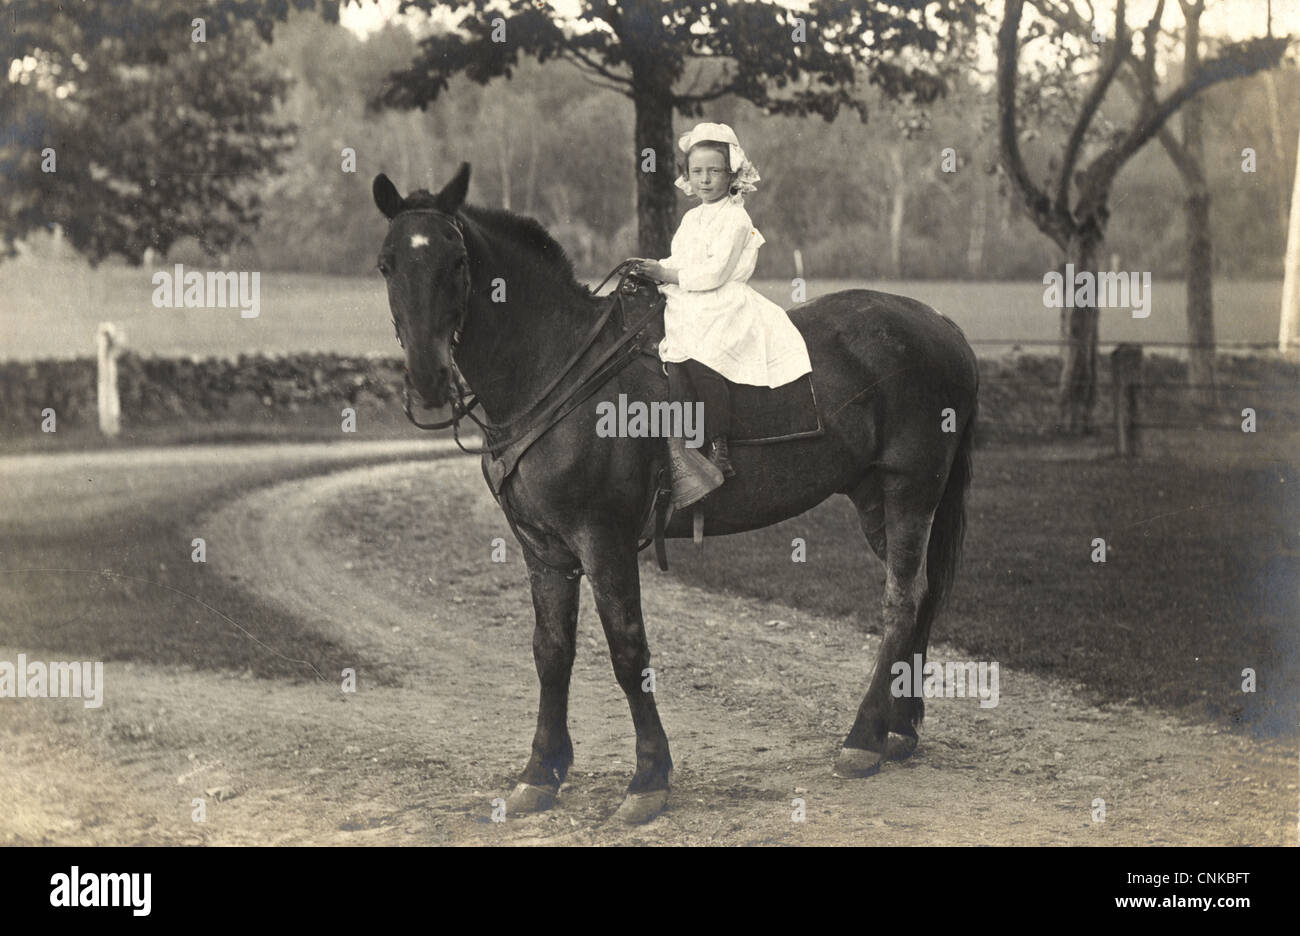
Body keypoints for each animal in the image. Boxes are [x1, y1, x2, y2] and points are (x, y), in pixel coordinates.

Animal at [377, 166, 977, 821]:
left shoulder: (604, 541)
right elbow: (551, 651)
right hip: (874, 499)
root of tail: (940, 324)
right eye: (386, 264)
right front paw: (541, 771)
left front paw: (648, 778)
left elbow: (627, 650)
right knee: (919, 594)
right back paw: (899, 728)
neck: (556, 369)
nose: (429, 380)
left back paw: (864, 737)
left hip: (910, 490)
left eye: (457, 261)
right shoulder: (544, 549)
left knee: (901, 600)